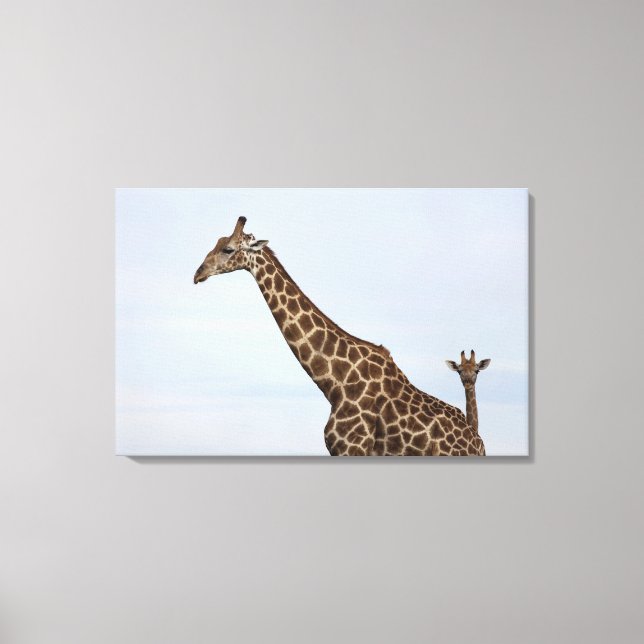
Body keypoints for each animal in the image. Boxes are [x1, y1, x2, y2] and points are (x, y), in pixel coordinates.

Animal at [194, 217, 486, 456]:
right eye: (217, 242)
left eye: (228, 249)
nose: (198, 274)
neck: (336, 382)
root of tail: (478, 443)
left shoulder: (353, 448)